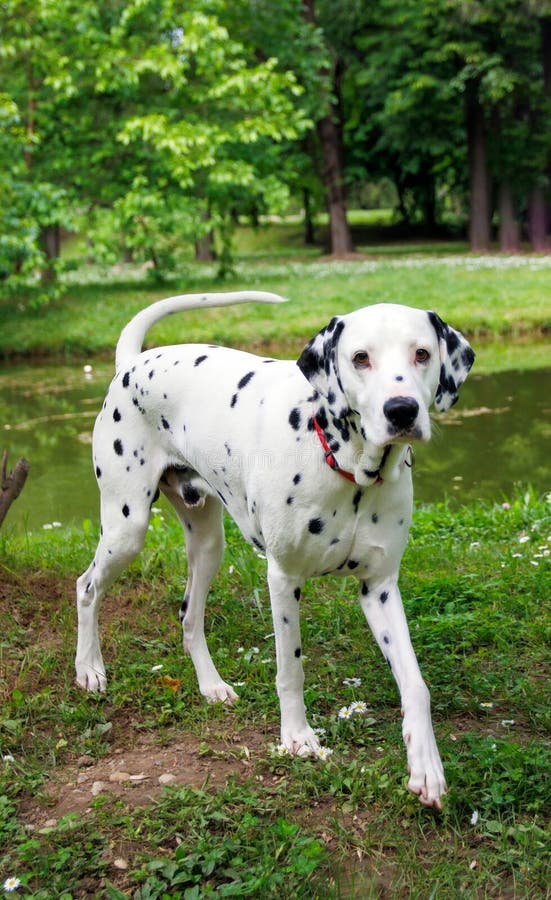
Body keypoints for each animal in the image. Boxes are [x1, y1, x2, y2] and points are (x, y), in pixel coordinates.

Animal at [75, 294, 476, 808]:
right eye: (360, 358)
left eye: (422, 353)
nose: (402, 410)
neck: (347, 469)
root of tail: (132, 363)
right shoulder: (283, 580)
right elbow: (291, 669)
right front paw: (297, 738)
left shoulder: (380, 589)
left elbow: (415, 684)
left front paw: (426, 765)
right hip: (127, 529)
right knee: (87, 586)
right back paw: (89, 669)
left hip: (208, 545)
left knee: (189, 616)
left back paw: (211, 685)